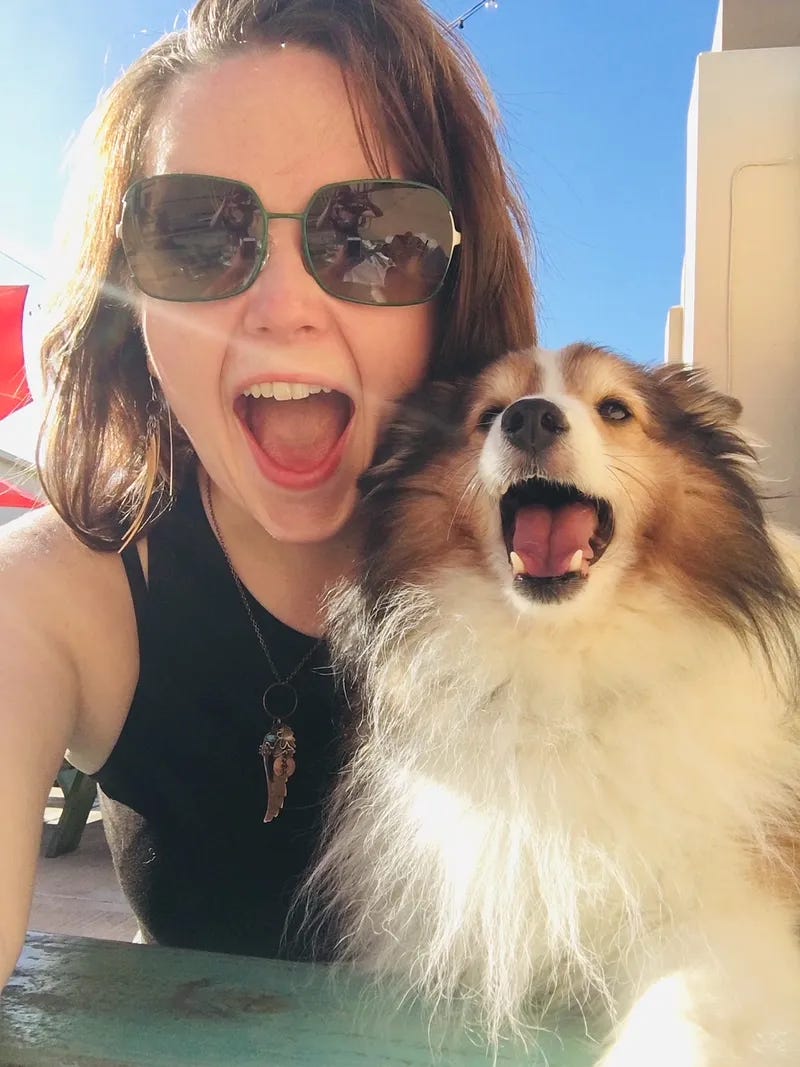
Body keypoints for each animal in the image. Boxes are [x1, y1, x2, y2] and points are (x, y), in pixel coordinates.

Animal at [309, 345, 800, 1062]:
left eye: (616, 409)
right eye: (489, 413)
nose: (530, 418)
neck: (562, 671)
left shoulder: (731, 912)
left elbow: (687, 1005)